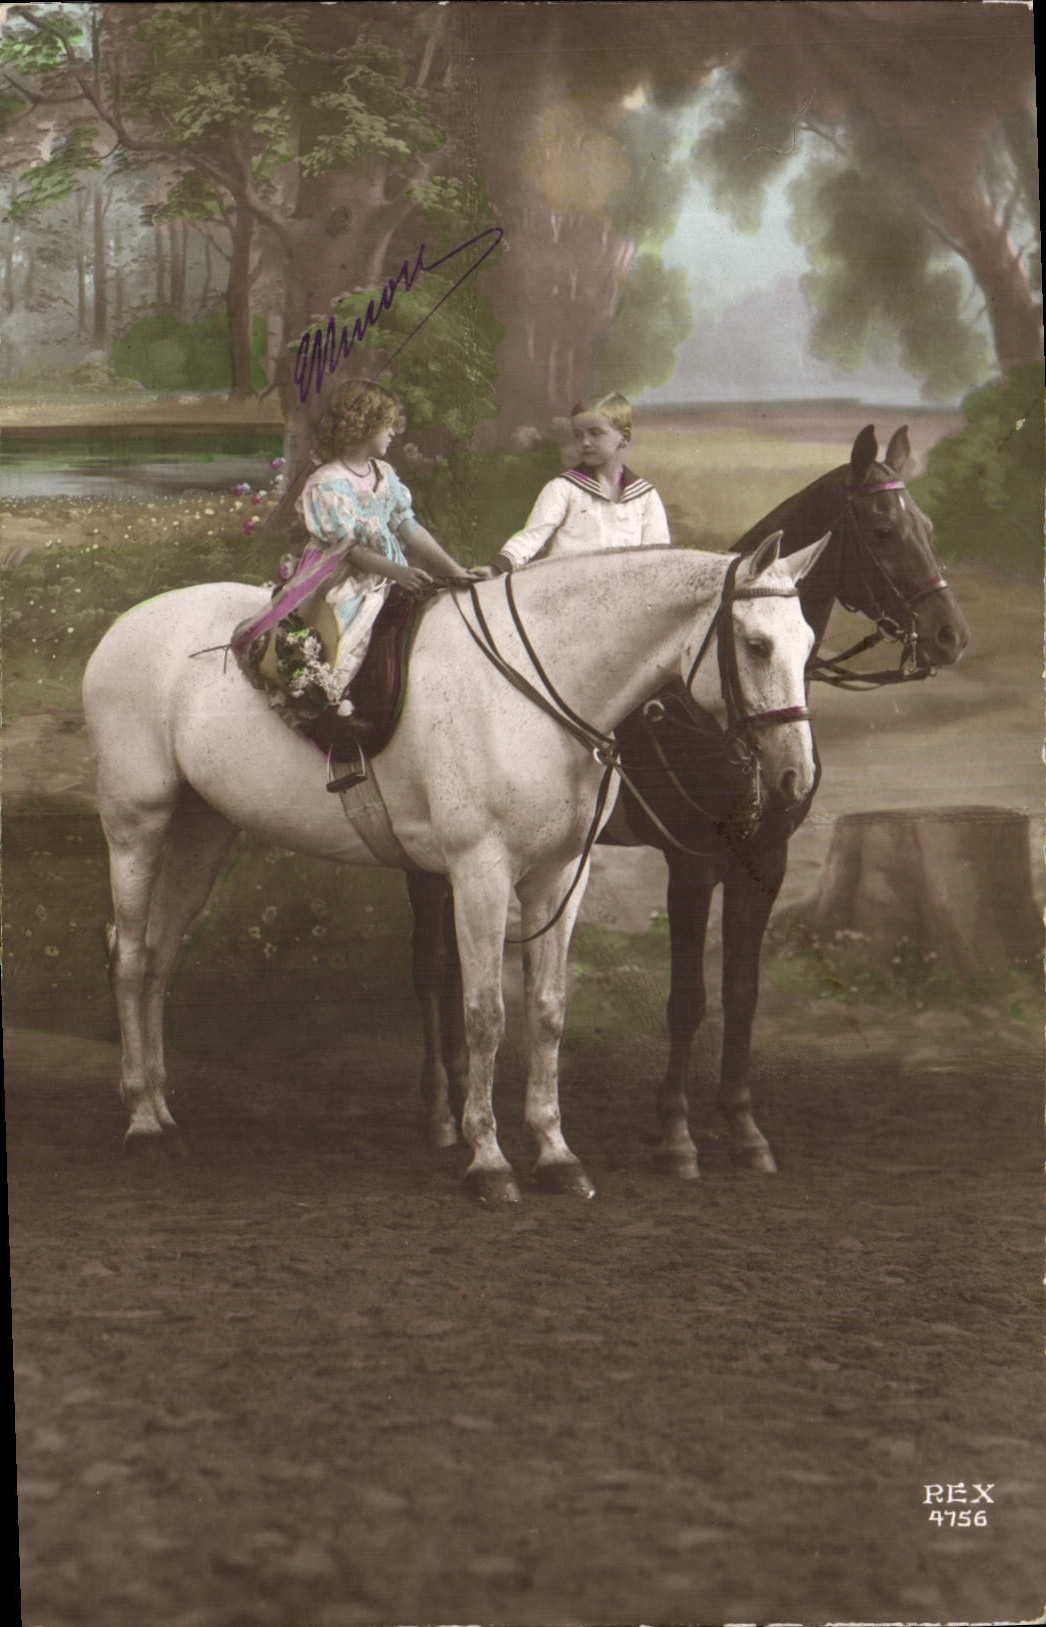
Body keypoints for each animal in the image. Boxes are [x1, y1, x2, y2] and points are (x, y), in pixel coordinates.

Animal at [82, 533, 828, 1203]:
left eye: (807, 643)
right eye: (757, 646)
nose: (796, 776)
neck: (536, 690)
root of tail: (120, 629)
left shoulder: (560, 877)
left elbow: (548, 1011)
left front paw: (556, 1153)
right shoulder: (481, 873)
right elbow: (486, 1014)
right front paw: (489, 1160)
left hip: (203, 828)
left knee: (158, 955)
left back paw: (162, 1109)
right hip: (138, 824)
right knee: (128, 957)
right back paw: (142, 1121)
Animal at [405, 425, 972, 1177]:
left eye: (928, 527)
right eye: (883, 529)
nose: (950, 635)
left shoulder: (764, 862)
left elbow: (741, 993)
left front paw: (743, 1124)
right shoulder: (693, 863)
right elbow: (686, 999)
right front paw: (676, 1132)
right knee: (433, 968)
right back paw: (443, 1111)